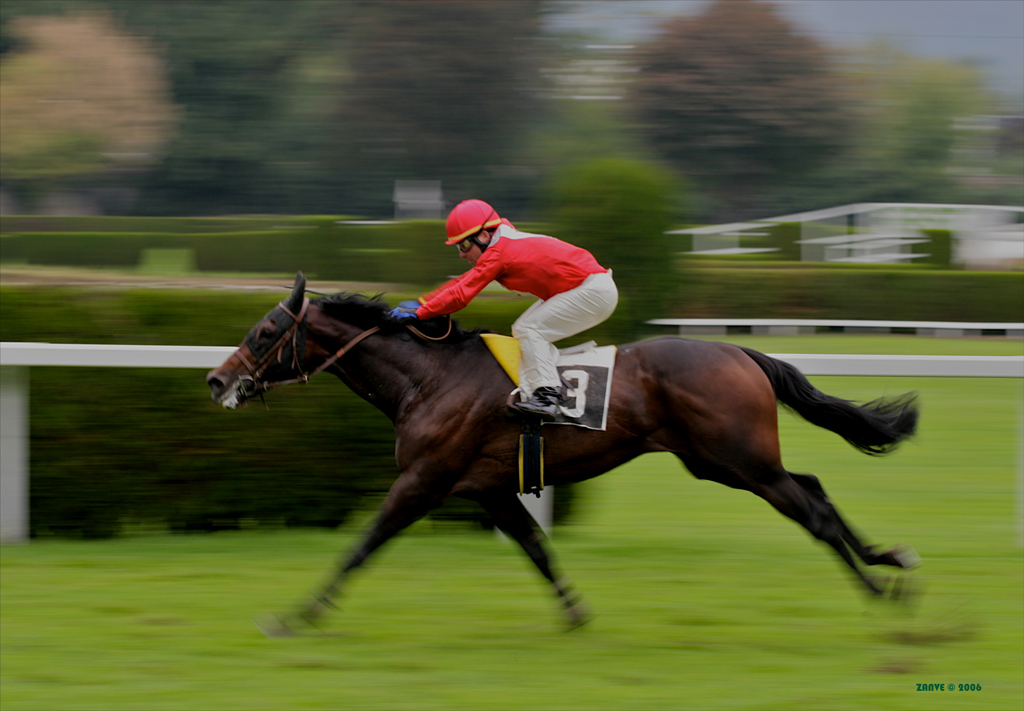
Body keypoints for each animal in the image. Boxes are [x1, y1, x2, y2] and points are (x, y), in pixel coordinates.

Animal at [206, 272, 920, 635]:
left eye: (265, 332)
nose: (216, 380)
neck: (429, 378)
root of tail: (739, 349)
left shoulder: (424, 478)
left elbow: (363, 543)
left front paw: (299, 614)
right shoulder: (487, 487)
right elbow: (537, 549)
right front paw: (575, 612)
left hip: (739, 460)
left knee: (812, 509)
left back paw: (880, 587)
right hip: (721, 461)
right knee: (815, 484)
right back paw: (889, 559)